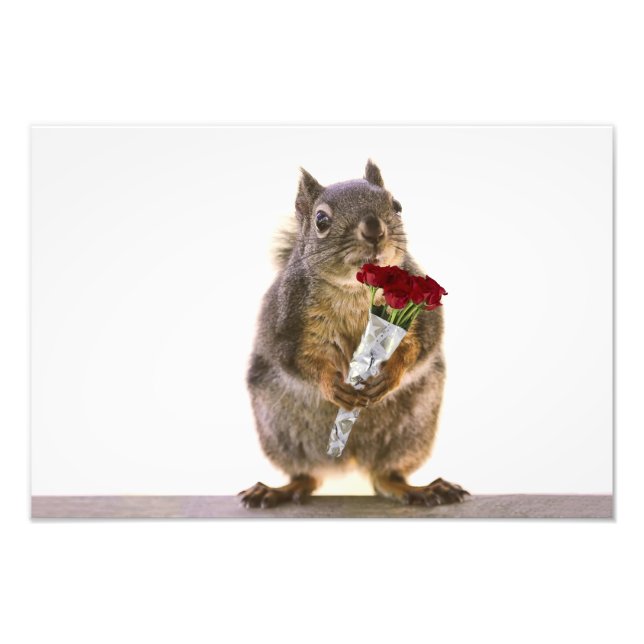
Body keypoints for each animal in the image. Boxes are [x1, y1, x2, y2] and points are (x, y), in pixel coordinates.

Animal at [239, 160, 468, 508]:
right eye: (321, 220)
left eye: (396, 206)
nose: (375, 229)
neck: (356, 288)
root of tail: (349, 459)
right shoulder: (288, 320)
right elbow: (301, 361)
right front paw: (332, 385)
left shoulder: (420, 314)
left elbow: (417, 347)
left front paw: (390, 373)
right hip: (279, 430)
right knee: (306, 474)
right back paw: (282, 489)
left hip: (414, 426)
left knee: (386, 475)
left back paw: (418, 489)